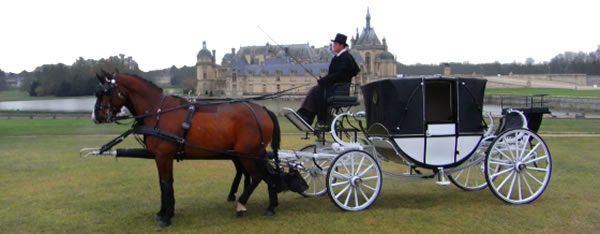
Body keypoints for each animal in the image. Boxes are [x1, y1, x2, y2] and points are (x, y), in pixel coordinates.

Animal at [92, 71, 284, 227]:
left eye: (105, 92)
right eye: (98, 92)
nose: (96, 117)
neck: (158, 112)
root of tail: (263, 109)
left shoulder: (163, 155)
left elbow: (166, 183)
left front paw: (166, 217)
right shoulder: (160, 157)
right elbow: (163, 183)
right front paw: (164, 212)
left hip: (247, 153)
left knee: (257, 176)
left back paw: (243, 204)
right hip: (253, 153)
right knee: (268, 175)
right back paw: (271, 205)